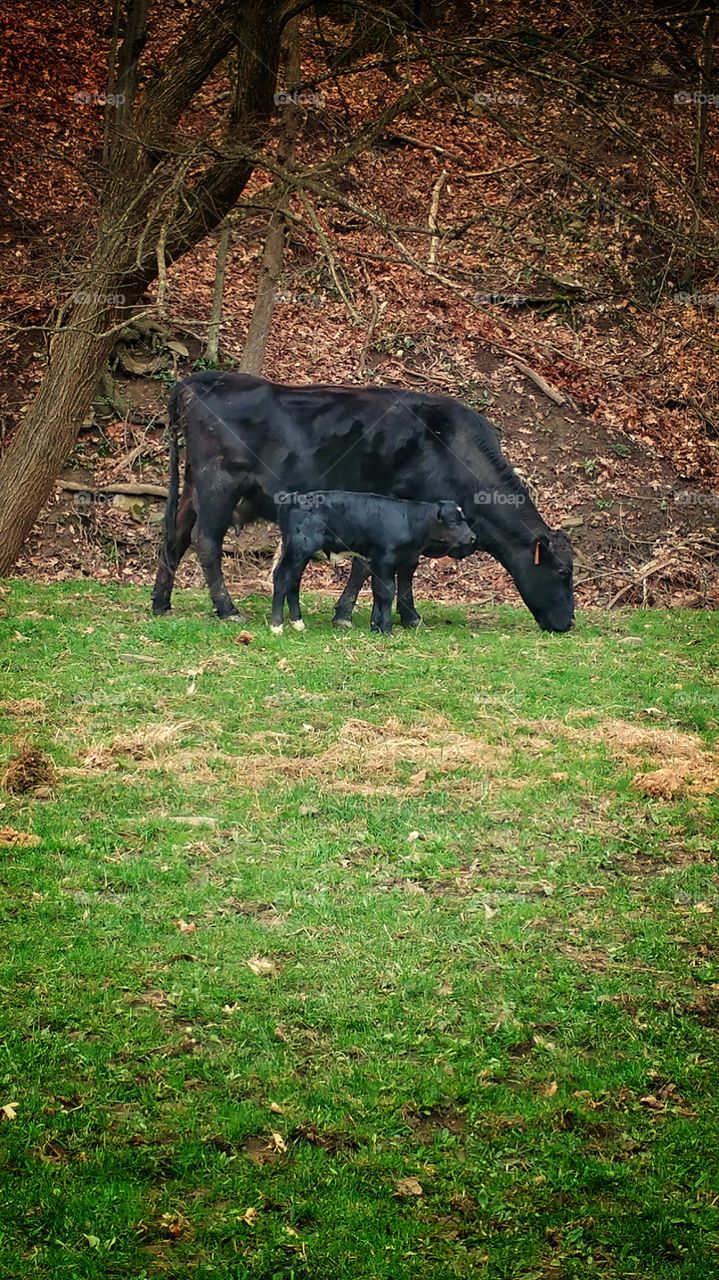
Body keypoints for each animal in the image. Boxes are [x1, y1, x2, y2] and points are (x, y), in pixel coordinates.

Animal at [271, 491, 475, 634]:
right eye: (453, 521)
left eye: (464, 519)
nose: (473, 537)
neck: (410, 522)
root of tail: (294, 498)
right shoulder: (384, 560)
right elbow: (386, 591)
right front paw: (386, 629)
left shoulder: (391, 561)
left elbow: (379, 591)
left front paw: (376, 626)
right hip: (298, 549)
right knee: (282, 578)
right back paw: (277, 626)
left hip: (300, 553)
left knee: (294, 580)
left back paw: (298, 623)